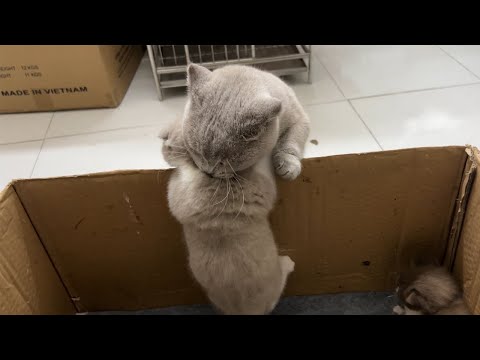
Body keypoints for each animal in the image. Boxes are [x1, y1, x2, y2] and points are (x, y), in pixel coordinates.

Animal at [161, 63, 312, 314]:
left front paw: (287, 165)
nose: (208, 171)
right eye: (198, 152)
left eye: (224, 162)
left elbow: (291, 141)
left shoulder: (300, 117)